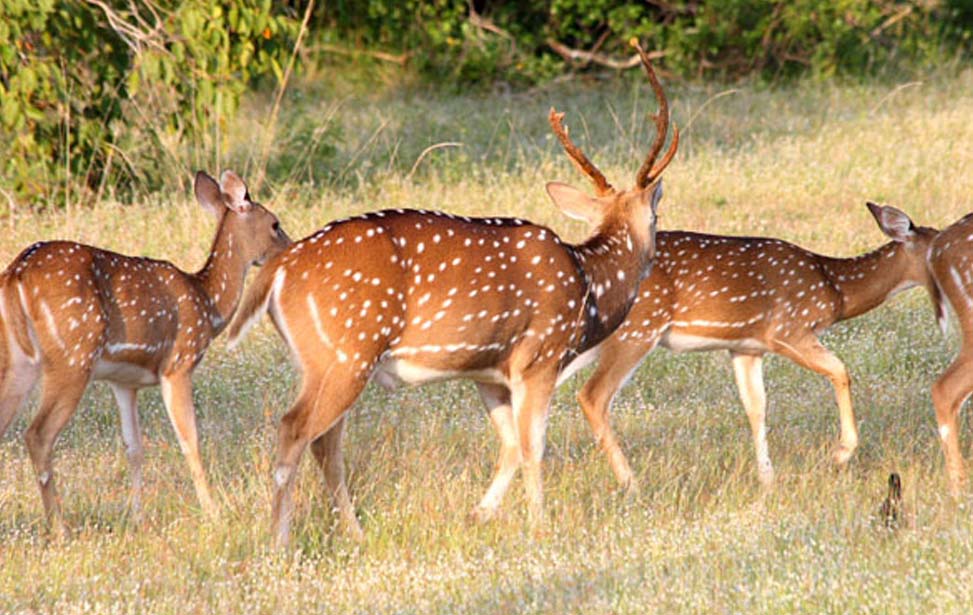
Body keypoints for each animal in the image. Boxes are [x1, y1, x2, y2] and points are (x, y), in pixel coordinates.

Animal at [0, 171, 288, 532]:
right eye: (275, 223)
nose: (292, 247)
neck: (207, 304)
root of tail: (15, 274)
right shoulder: (178, 363)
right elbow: (190, 440)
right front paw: (214, 511)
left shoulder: (124, 381)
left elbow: (133, 446)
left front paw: (135, 515)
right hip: (72, 355)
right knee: (38, 434)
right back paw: (60, 528)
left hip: (20, 359)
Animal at [228, 41, 680, 548]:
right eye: (656, 217)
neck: (589, 287)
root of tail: (279, 269)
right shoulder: (539, 356)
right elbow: (534, 446)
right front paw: (539, 524)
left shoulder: (488, 372)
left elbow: (509, 446)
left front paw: (479, 513)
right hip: (348, 351)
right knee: (296, 429)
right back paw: (280, 541)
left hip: (319, 360)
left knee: (325, 439)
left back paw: (354, 531)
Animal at [576, 202, 940, 490]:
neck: (836, 290)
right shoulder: (788, 329)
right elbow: (841, 371)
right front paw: (840, 453)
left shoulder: (746, 347)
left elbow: (756, 406)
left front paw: (767, 478)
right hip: (637, 330)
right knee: (593, 395)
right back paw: (631, 483)